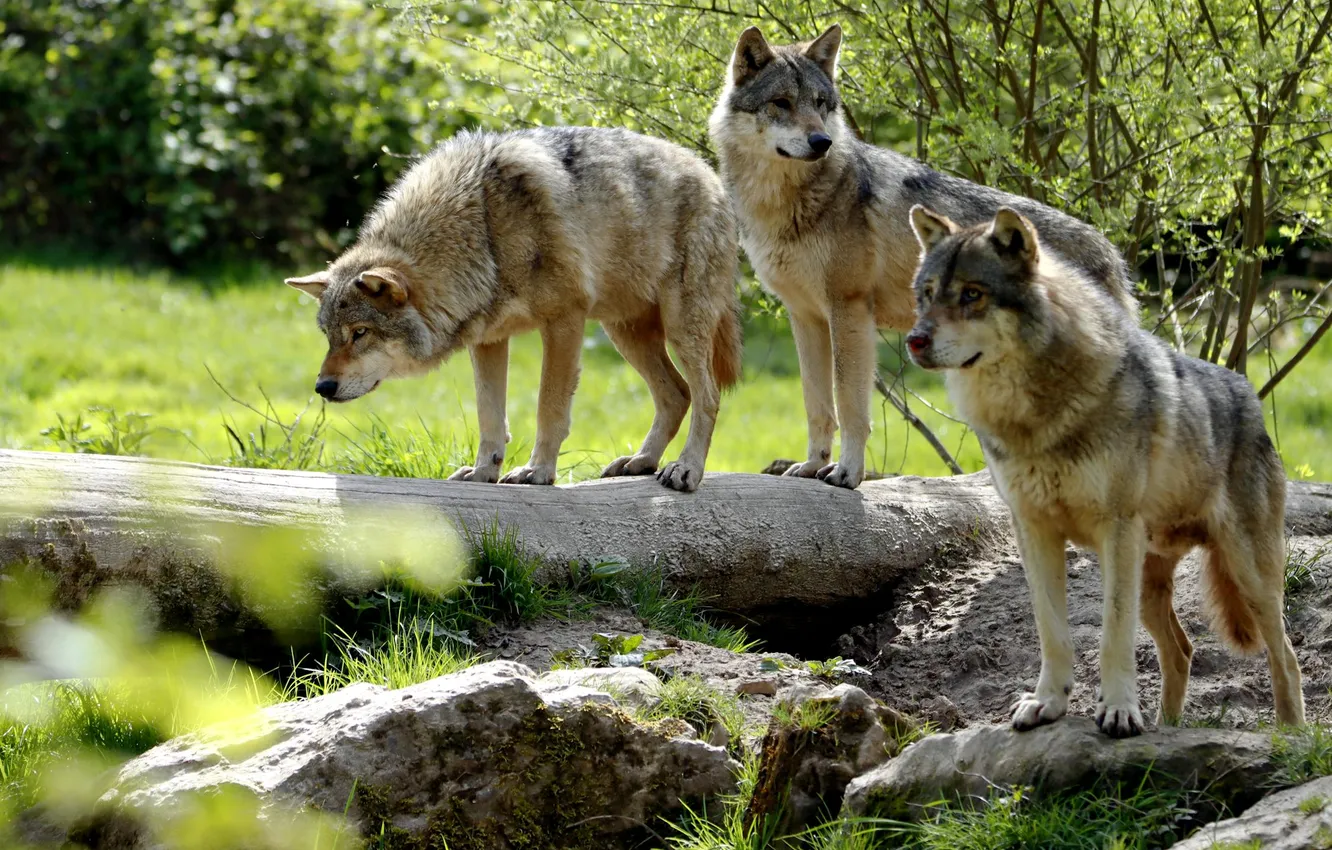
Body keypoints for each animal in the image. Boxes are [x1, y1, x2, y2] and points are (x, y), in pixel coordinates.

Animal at [285, 127, 742, 492]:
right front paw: (482, 473)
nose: (321, 387)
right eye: (330, 337)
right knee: (676, 394)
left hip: (678, 328)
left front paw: (537, 472)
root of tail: (711, 173)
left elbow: (548, 407)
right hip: (624, 334)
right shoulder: (489, 340)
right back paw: (641, 462)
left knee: (707, 396)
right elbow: (490, 416)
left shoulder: (564, 321)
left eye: (360, 333)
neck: (482, 230)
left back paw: (685, 470)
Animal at [710, 24, 1136, 489]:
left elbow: (850, 406)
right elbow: (817, 405)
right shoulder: (805, 317)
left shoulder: (849, 312)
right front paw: (810, 466)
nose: (821, 141)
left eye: (821, 104)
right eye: (782, 103)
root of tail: (1111, 251)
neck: (785, 205)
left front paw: (846, 472)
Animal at [904, 204, 1305, 737]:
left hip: (1247, 576)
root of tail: (1249, 395)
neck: (1036, 418)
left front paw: (1118, 711)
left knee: (1286, 657)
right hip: (1151, 581)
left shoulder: (1116, 531)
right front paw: (1047, 703)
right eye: (928, 295)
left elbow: (1113, 636)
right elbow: (1052, 632)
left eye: (972, 294)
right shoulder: (1033, 531)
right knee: (1182, 651)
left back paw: (1291, 733)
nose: (914, 340)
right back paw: (1168, 728)